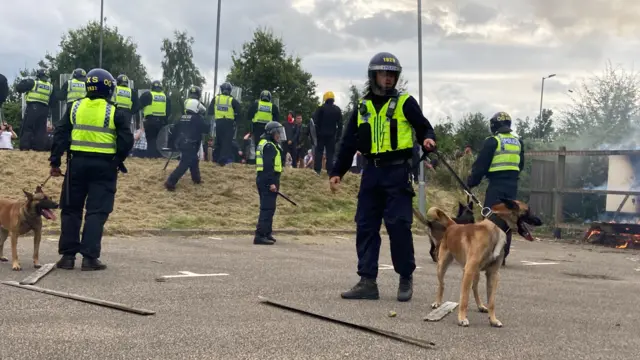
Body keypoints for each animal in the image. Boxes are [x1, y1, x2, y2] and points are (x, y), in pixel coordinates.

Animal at [422, 198, 544, 328]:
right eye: (528, 210)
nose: (540, 221)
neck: (495, 229)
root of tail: (453, 225)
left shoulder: (493, 274)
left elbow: (491, 302)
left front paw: (493, 320)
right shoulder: (469, 271)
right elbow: (464, 298)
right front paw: (462, 318)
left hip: (476, 273)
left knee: (474, 288)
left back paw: (480, 306)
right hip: (443, 266)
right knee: (442, 284)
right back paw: (437, 302)